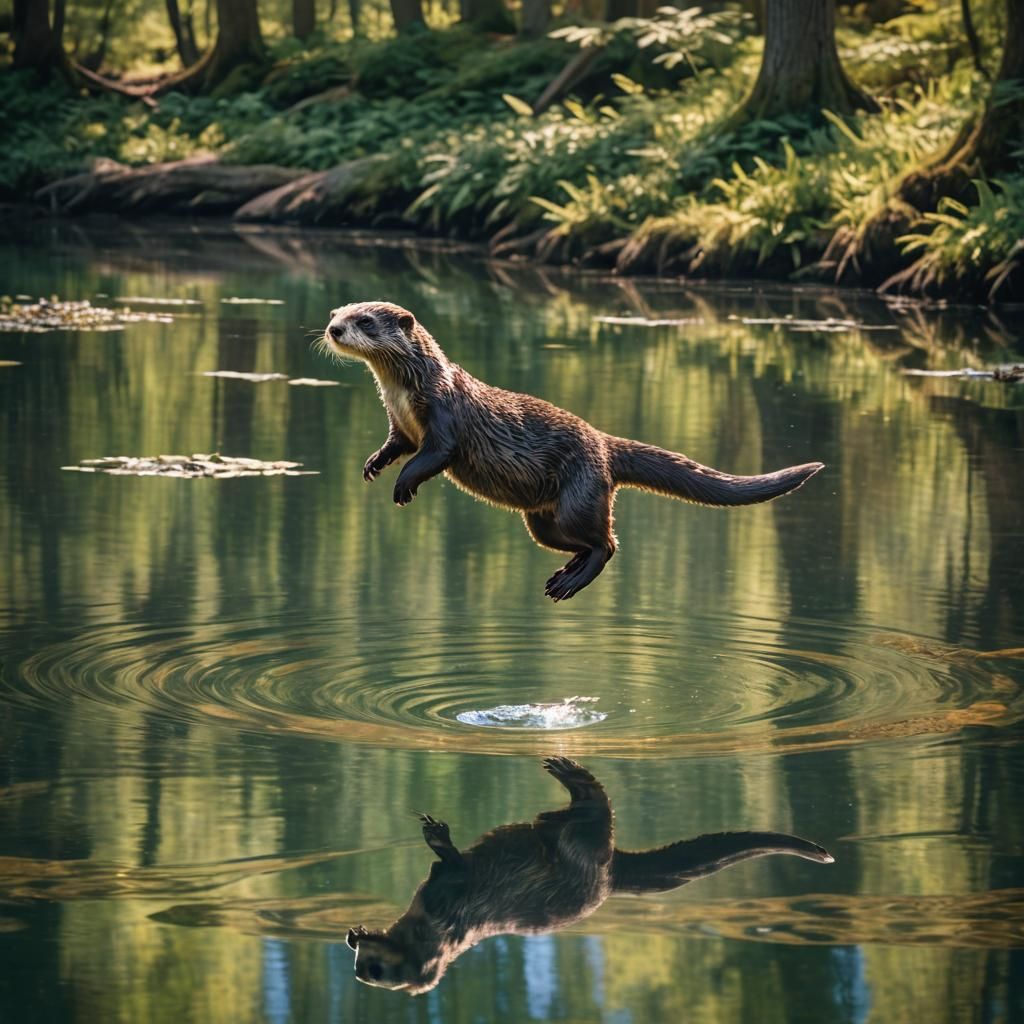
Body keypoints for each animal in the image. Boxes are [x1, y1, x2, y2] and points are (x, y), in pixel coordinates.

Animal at [321, 301, 824, 601]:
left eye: (365, 321)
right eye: (337, 311)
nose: (333, 329)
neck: (406, 392)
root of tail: (603, 442)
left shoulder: (444, 416)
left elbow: (433, 456)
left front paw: (403, 485)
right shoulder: (400, 424)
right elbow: (397, 446)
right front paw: (374, 464)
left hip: (579, 496)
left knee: (608, 543)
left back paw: (572, 580)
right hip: (542, 521)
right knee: (581, 541)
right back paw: (564, 576)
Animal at [346, 756, 833, 994]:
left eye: (378, 971)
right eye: (362, 965)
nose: (358, 965)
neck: (434, 925)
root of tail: (612, 874)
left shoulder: (450, 898)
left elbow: (453, 864)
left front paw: (437, 834)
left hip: (579, 853)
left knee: (597, 812)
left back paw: (568, 771)